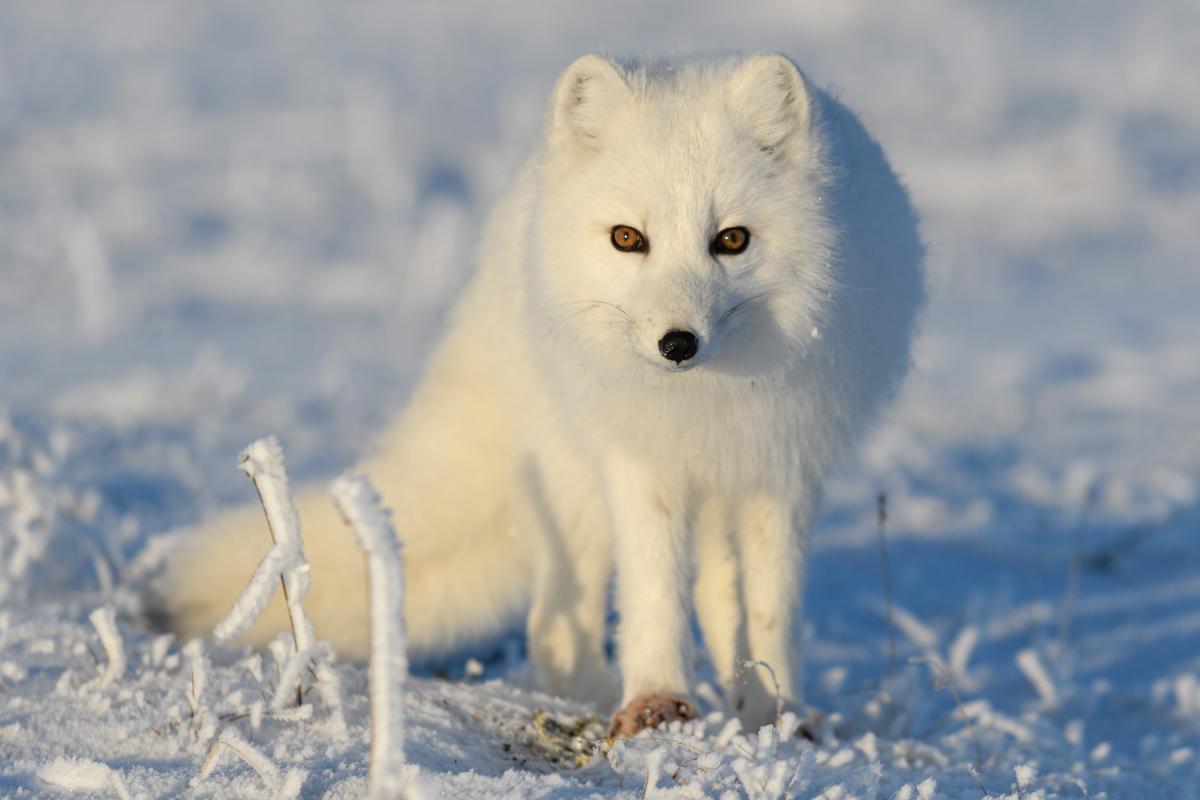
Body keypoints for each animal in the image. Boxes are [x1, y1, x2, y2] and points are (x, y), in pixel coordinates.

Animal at [159, 51, 921, 738]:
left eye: (732, 239)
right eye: (627, 238)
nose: (677, 344)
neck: (705, 408)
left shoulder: (782, 470)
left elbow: (769, 607)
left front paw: (776, 714)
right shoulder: (637, 462)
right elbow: (652, 589)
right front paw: (657, 704)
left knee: (714, 594)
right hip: (572, 481)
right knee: (555, 624)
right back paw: (592, 696)